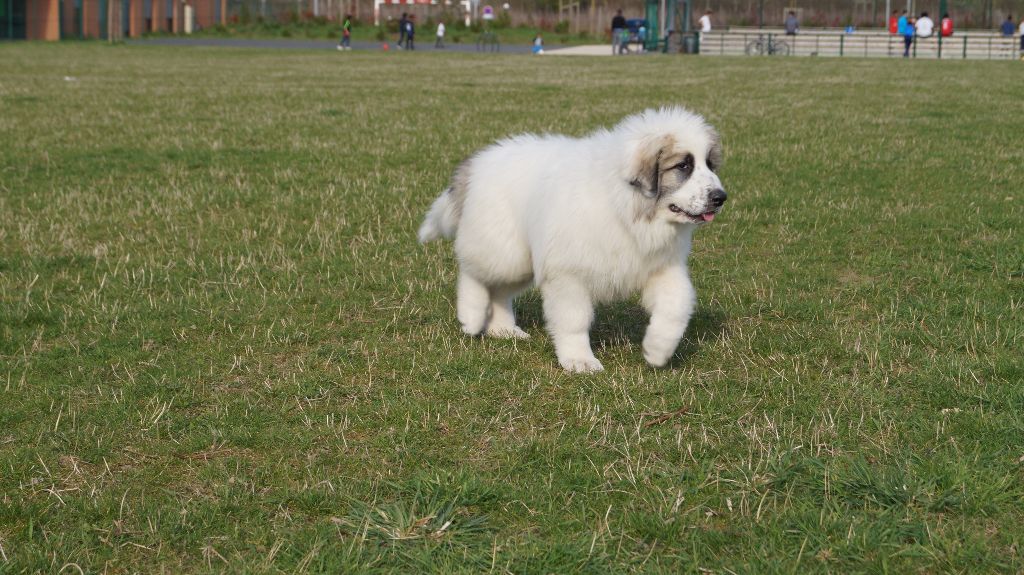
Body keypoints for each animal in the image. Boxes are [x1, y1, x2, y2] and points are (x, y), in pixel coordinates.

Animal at [419, 108, 724, 372]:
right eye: (683, 166)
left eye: (709, 164)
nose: (721, 197)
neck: (625, 207)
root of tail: (479, 162)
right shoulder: (568, 273)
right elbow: (574, 319)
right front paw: (580, 360)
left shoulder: (661, 265)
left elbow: (677, 305)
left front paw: (657, 349)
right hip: (506, 250)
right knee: (474, 272)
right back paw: (470, 315)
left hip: (524, 261)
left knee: (500, 291)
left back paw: (504, 329)